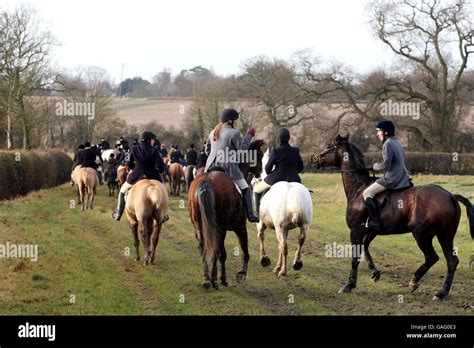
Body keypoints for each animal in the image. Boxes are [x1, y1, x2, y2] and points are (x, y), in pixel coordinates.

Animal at [187, 140, 264, 290]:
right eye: (260, 155)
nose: (260, 172)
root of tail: (206, 181)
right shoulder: (240, 227)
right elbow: (245, 251)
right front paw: (241, 273)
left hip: (198, 223)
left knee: (203, 246)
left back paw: (206, 278)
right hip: (220, 227)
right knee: (217, 251)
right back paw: (214, 279)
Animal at [254, 148, 312, 276]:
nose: (256, 178)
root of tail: (293, 196)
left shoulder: (261, 223)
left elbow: (261, 237)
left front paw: (264, 259)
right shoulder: (286, 229)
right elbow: (278, 245)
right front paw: (277, 266)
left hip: (279, 228)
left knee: (284, 247)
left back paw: (283, 271)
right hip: (304, 225)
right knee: (300, 241)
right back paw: (296, 263)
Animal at [312, 135, 474, 300]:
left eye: (328, 146)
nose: (314, 159)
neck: (359, 188)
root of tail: (450, 196)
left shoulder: (356, 229)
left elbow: (355, 257)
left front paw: (349, 285)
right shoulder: (371, 230)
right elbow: (365, 248)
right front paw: (374, 272)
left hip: (422, 235)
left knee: (432, 257)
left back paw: (414, 282)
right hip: (445, 235)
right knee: (452, 261)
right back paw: (441, 293)